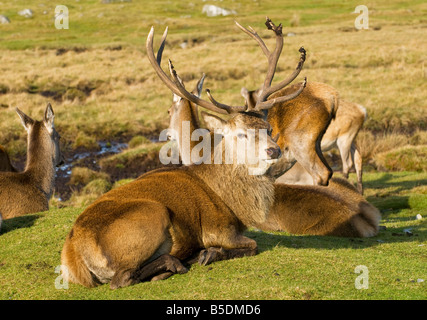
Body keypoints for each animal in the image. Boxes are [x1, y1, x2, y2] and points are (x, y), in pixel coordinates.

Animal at [59, 20, 304, 290]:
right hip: (151, 214)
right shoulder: (217, 228)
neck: (231, 203)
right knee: (122, 278)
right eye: (240, 134)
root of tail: (73, 256)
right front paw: (210, 253)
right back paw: (177, 263)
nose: (274, 149)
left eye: (269, 128)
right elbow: (252, 244)